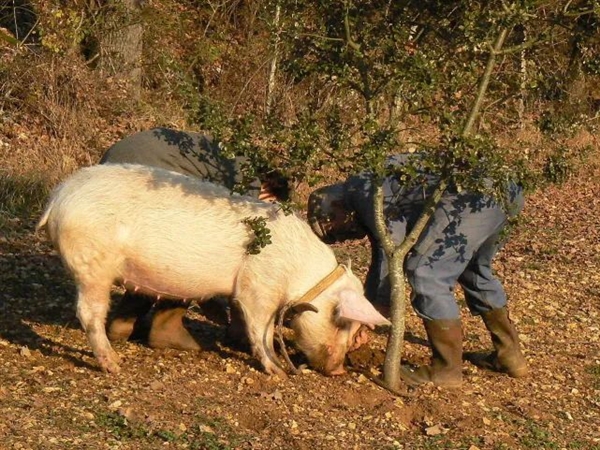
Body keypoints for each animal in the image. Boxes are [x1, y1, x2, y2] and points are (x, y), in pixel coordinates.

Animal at [37, 164, 390, 376]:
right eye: (341, 321)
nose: (339, 370)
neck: (300, 276)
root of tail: (58, 197)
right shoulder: (258, 287)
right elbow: (260, 328)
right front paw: (277, 372)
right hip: (92, 264)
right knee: (88, 312)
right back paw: (115, 365)